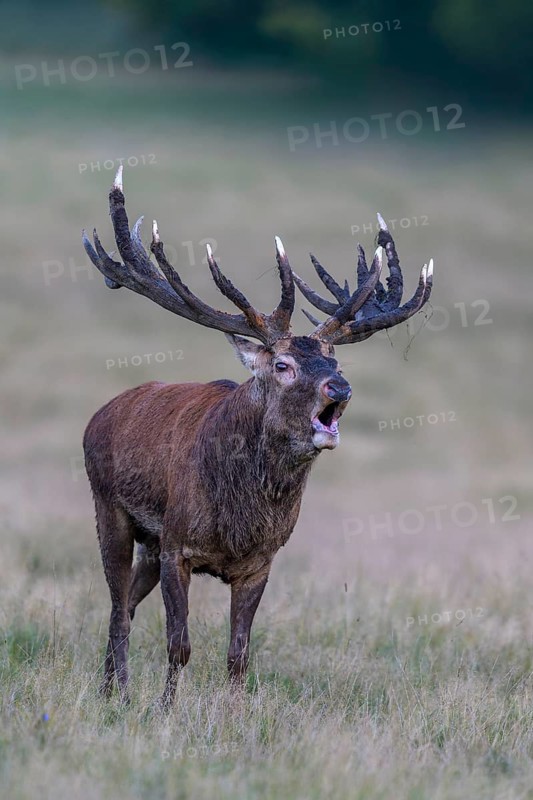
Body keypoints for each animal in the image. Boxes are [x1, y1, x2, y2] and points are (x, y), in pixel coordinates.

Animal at [82, 166, 433, 706]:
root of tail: (99, 416)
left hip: (149, 543)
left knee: (124, 606)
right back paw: (117, 693)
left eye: (334, 361)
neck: (239, 518)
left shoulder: (259, 562)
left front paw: (232, 714)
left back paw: (107, 689)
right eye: (283, 365)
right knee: (119, 609)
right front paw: (165, 710)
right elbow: (179, 645)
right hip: (111, 510)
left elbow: (239, 655)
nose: (341, 388)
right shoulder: (178, 545)